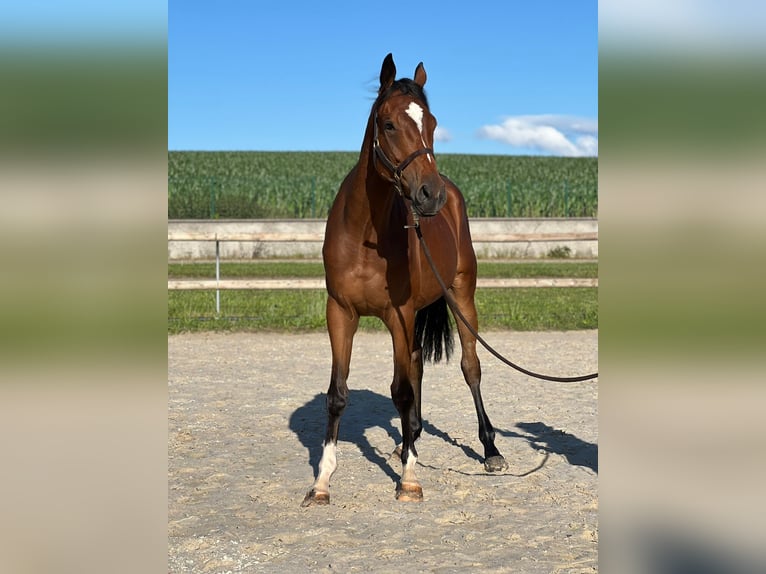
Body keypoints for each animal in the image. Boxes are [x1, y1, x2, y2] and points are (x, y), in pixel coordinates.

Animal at [304, 51, 508, 506]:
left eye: (431, 122)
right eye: (389, 124)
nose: (430, 195)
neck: (365, 233)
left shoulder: (399, 315)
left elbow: (401, 391)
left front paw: (409, 479)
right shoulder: (340, 313)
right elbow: (338, 394)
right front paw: (322, 481)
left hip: (461, 296)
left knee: (470, 367)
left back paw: (489, 450)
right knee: (416, 367)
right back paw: (407, 439)